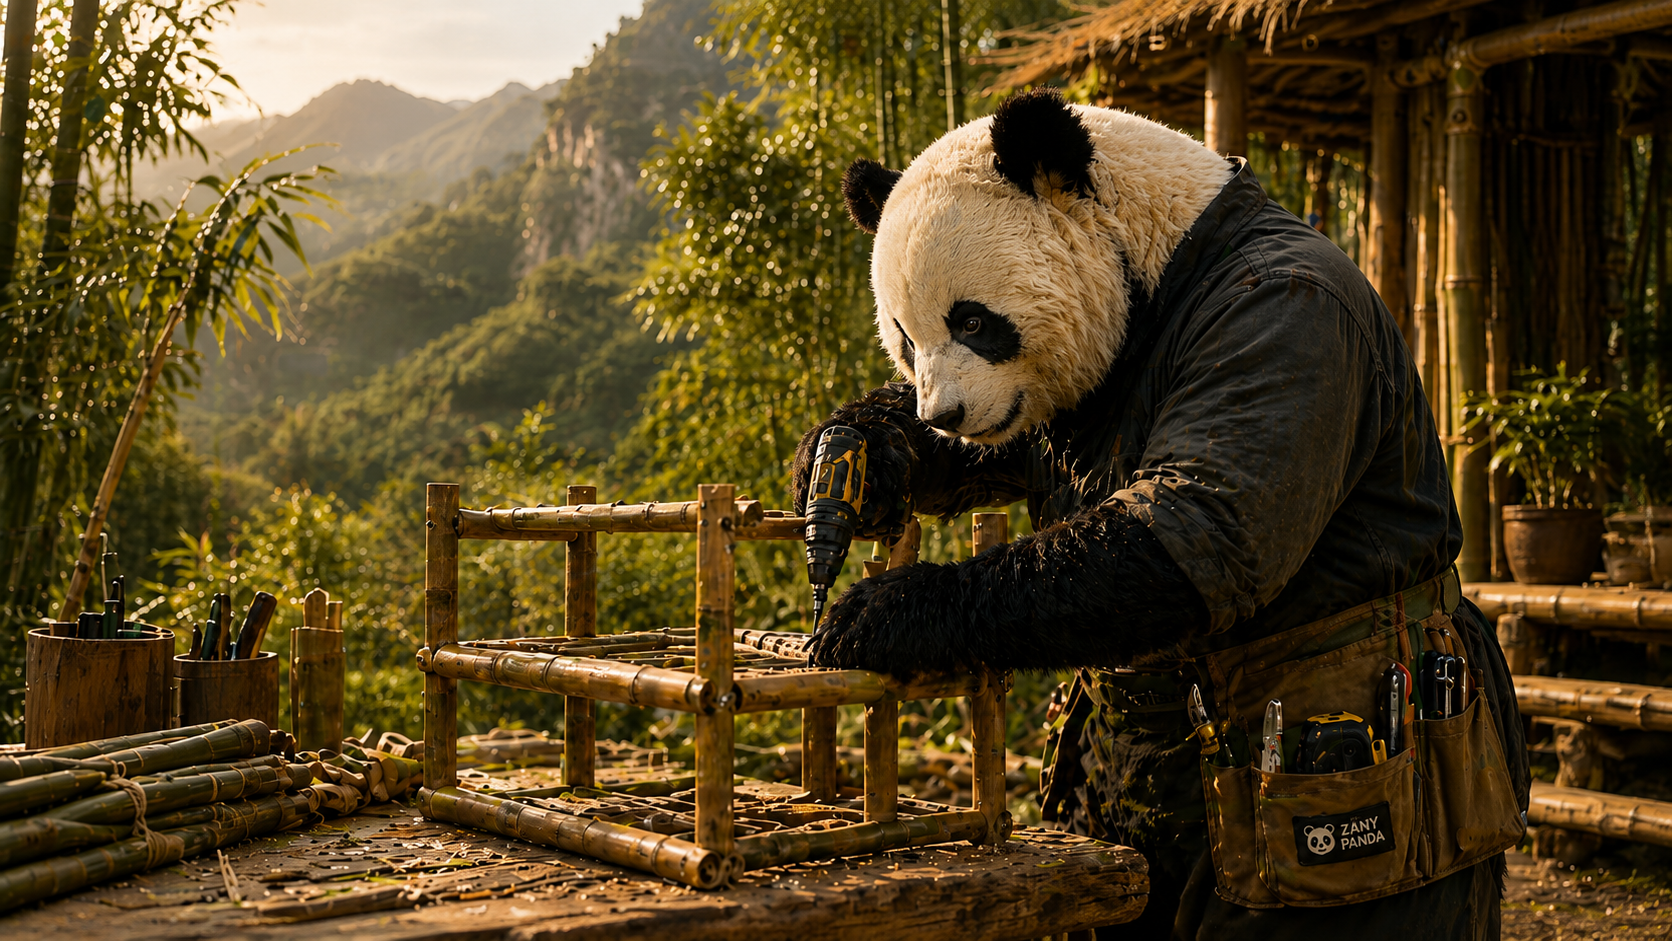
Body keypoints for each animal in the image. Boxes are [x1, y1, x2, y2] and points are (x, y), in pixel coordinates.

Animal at [790, 90, 1528, 940]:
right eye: (907, 341)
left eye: (972, 321)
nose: (945, 414)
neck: (1168, 257)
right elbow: (1001, 453)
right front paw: (851, 452)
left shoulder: (1283, 327)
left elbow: (1199, 526)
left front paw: (873, 613)